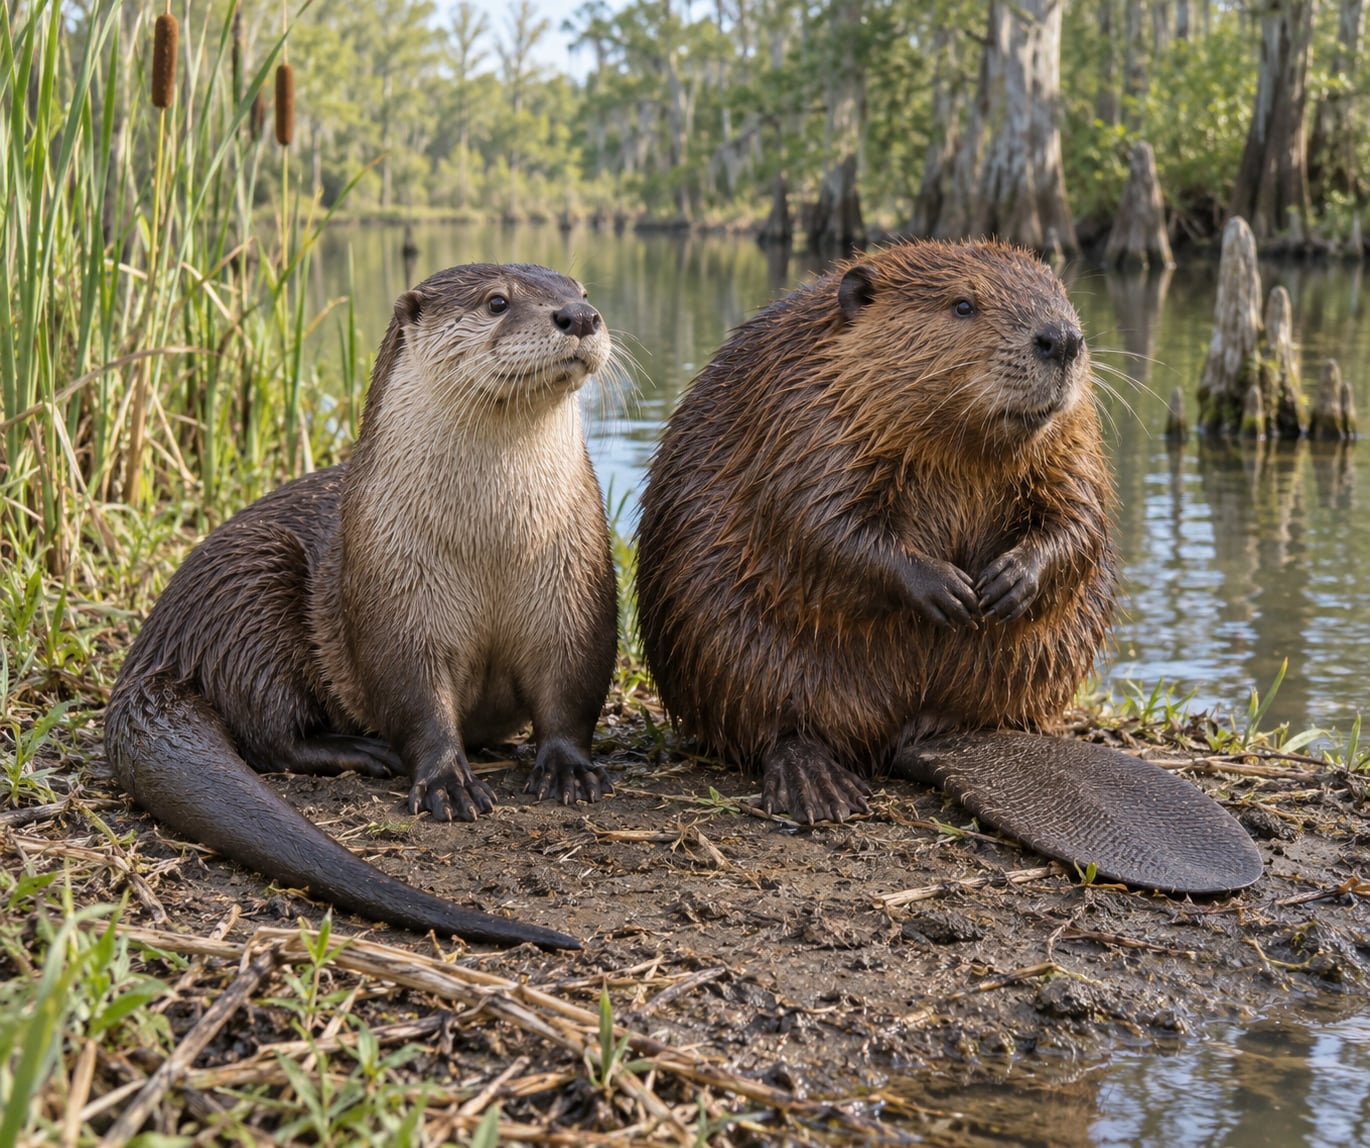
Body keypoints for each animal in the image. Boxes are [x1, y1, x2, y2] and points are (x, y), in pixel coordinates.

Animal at [106, 263, 619, 948]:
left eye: (582, 291)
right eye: (497, 302)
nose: (580, 317)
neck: (493, 544)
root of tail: (154, 650)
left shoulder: (574, 588)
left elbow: (571, 688)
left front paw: (568, 770)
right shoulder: (396, 595)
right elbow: (412, 692)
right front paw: (445, 780)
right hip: (250, 583)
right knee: (269, 734)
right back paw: (361, 751)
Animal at [636, 239, 1262, 895]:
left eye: (1061, 296)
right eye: (963, 305)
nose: (1063, 339)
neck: (965, 447)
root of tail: (920, 740)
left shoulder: (1075, 434)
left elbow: (1079, 508)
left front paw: (1007, 583)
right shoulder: (802, 410)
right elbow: (820, 516)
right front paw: (949, 592)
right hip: (734, 654)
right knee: (777, 730)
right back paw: (821, 788)